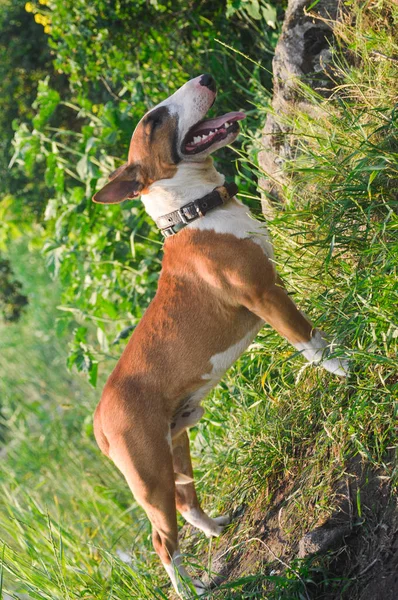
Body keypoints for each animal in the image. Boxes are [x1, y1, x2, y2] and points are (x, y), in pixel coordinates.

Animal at [91, 76, 346, 600]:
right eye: (155, 120)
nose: (205, 80)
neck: (194, 212)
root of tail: (99, 420)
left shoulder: (274, 286)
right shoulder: (264, 295)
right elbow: (308, 340)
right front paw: (345, 366)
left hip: (176, 448)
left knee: (187, 504)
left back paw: (218, 528)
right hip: (149, 477)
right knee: (161, 541)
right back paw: (191, 589)